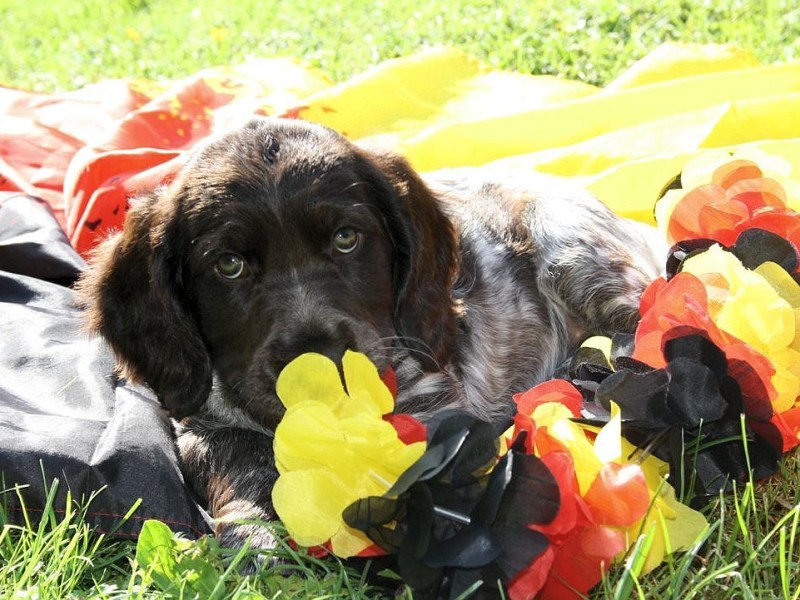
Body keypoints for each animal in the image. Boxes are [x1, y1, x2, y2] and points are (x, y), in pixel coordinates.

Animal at [76, 116, 664, 548]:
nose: (319, 368)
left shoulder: (433, 404)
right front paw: (256, 540)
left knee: (642, 324)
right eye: (229, 266)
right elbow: (242, 469)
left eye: (346, 239)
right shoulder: (203, 426)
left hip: (567, 244)